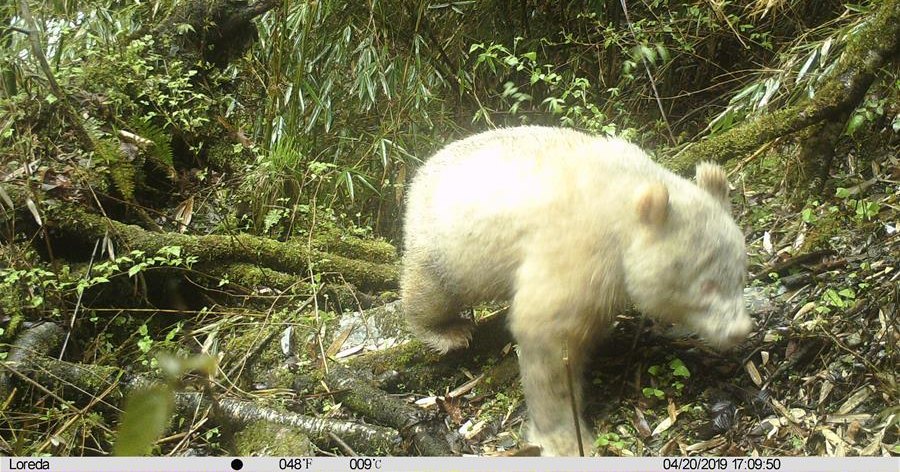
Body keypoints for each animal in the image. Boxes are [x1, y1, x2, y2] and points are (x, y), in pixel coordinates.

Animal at [400, 124, 752, 454]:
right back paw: (447, 331)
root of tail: (420, 172)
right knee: (430, 292)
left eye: (740, 275)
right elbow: (546, 333)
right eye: (706, 285)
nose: (739, 330)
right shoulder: (578, 246)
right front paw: (564, 438)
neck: (624, 199)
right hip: (444, 244)